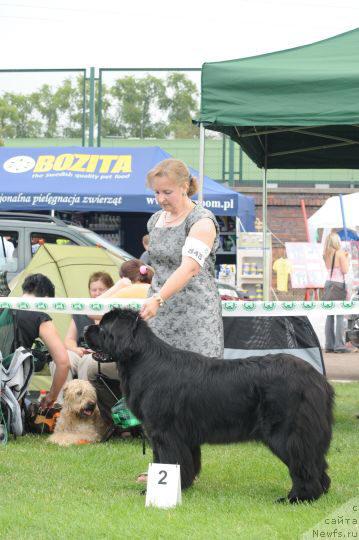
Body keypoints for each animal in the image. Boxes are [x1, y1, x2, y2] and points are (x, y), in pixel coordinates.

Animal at [86, 310, 336, 504]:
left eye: (102, 327)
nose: (87, 328)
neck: (141, 359)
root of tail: (316, 378)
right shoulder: (184, 435)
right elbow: (186, 463)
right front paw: (182, 486)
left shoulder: (164, 432)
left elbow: (166, 461)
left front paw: (159, 489)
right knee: (317, 463)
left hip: (286, 432)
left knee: (303, 464)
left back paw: (298, 498)